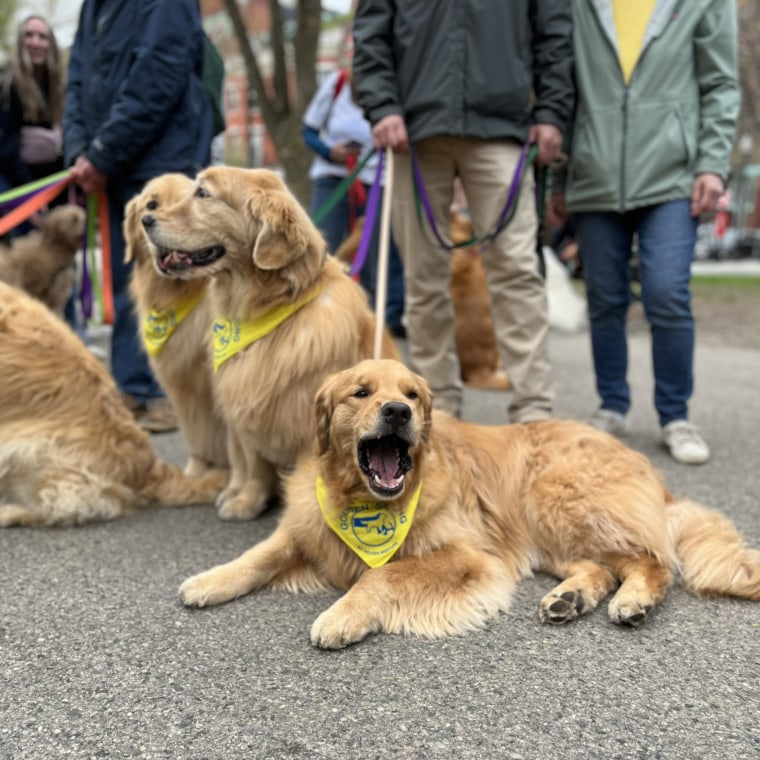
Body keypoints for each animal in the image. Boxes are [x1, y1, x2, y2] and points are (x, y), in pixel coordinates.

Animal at [144, 166, 404, 524]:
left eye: (203, 193)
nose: (146, 220)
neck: (266, 310)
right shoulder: (248, 402)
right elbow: (253, 464)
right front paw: (247, 501)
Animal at [181, 360, 760, 648]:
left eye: (412, 395)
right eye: (361, 393)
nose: (397, 412)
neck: (365, 501)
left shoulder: (470, 555)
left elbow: (383, 574)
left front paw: (344, 615)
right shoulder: (306, 526)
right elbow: (259, 554)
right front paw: (210, 579)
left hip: (557, 502)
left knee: (652, 562)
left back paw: (632, 600)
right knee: (600, 567)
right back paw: (570, 598)